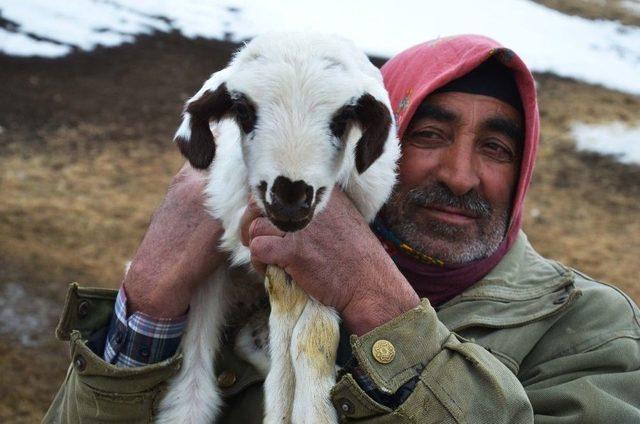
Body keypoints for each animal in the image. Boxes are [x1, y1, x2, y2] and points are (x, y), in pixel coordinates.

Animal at [156, 34, 400, 424]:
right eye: (242, 111)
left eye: (344, 117)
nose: (289, 200)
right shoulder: (266, 246)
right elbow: (287, 333)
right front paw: (288, 409)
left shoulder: (324, 266)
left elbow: (312, 335)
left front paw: (313, 409)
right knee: (192, 389)